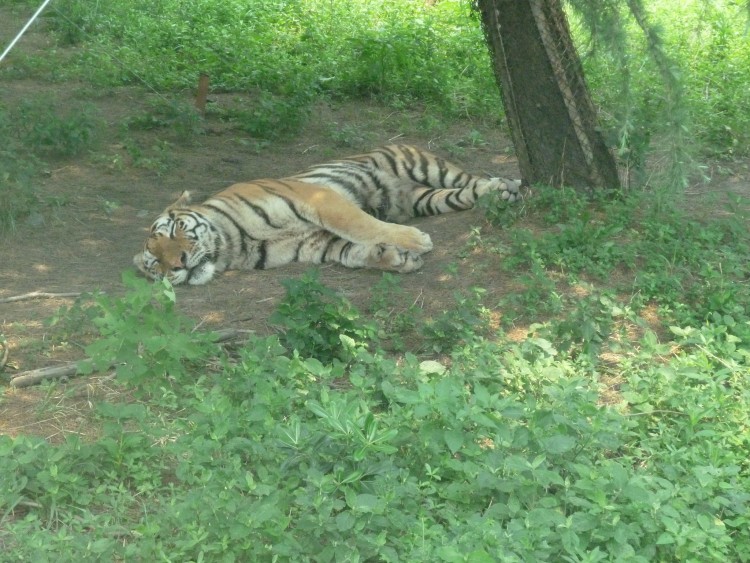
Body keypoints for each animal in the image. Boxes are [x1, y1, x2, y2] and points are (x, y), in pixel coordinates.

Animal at [135, 145, 524, 286]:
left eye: (175, 230)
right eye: (155, 263)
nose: (178, 264)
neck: (233, 243)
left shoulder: (320, 199)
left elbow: (359, 224)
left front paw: (415, 240)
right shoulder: (310, 244)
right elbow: (351, 250)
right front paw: (396, 258)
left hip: (423, 165)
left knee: (470, 177)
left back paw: (507, 184)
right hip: (423, 200)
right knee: (461, 194)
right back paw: (500, 192)